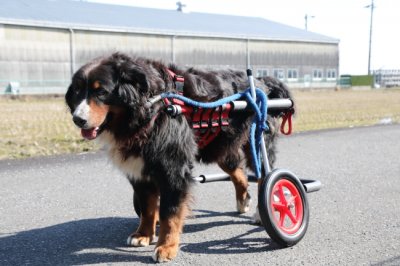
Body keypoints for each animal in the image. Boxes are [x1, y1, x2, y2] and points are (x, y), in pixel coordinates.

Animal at [65, 52, 290, 262]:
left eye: (101, 91)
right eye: (77, 91)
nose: (77, 119)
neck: (149, 108)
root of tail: (261, 81)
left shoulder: (172, 168)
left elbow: (170, 213)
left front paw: (166, 247)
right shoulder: (139, 171)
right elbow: (147, 207)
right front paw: (143, 234)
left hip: (257, 143)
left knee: (264, 177)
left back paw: (263, 211)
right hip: (220, 147)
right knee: (238, 172)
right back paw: (243, 201)